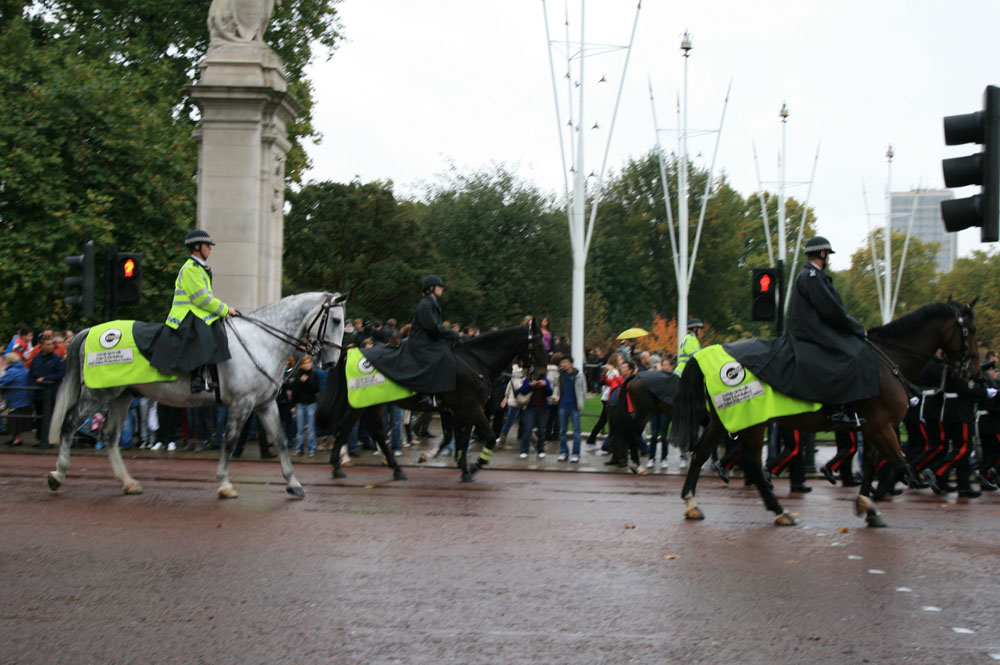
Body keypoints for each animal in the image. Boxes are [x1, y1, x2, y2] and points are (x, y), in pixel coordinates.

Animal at [47, 292, 348, 498]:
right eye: (335, 320)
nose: (331, 362)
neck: (261, 341)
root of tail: (90, 331)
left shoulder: (264, 404)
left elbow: (282, 440)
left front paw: (293, 484)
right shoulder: (241, 403)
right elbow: (229, 441)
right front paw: (225, 484)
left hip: (122, 395)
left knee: (109, 435)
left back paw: (128, 482)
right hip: (97, 394)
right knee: (69, 423)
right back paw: (58, 475)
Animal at [314, 320, 548, 480]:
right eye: (538, 343)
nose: (542, 374)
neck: (475, 361)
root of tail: (349, 351)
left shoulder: (459, 411)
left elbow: (458, 438)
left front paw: (461, 466)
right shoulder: (472, 408)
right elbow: (488, 436)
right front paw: (473, 467)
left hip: (374, 404)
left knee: (377, 431)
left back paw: (396, 468)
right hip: (359, 405)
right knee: (345, 428)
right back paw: (337, 466)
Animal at [672, 300, 976, 524]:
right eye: (970, 330)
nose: (970, 372)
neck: (888, 363)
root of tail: (705, 356)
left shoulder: (875, 426)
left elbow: (874, 463)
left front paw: (868, 503)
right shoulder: (881, 425)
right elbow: (896, 460)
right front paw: (893, 489)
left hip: (724, 420)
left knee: (701, 453)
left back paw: (691, 502)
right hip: (752, 421)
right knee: (752, 465)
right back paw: (780, 510)